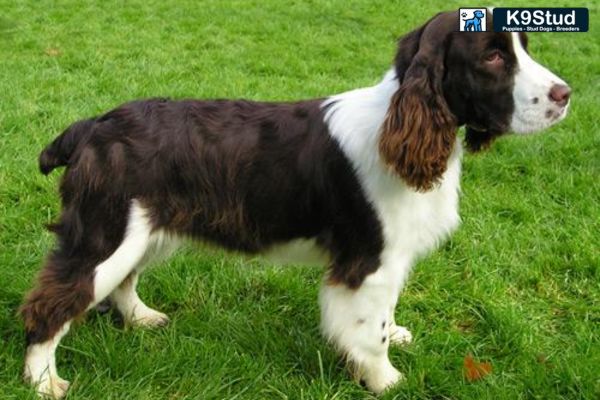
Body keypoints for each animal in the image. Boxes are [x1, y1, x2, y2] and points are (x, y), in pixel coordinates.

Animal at [21, 10, 568, 398]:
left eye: (525, 46)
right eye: (492, 56)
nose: (565, 94)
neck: (400, 124)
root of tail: (93, 126)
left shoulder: (389, 258)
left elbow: (387, 313)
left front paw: (398, 335)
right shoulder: (368, 260)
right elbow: (370, 331)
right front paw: (385, 380)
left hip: (142, 228)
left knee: (122, 282)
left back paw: (140, 318)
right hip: (107, 232)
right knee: (51, 302)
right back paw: (44, 381)